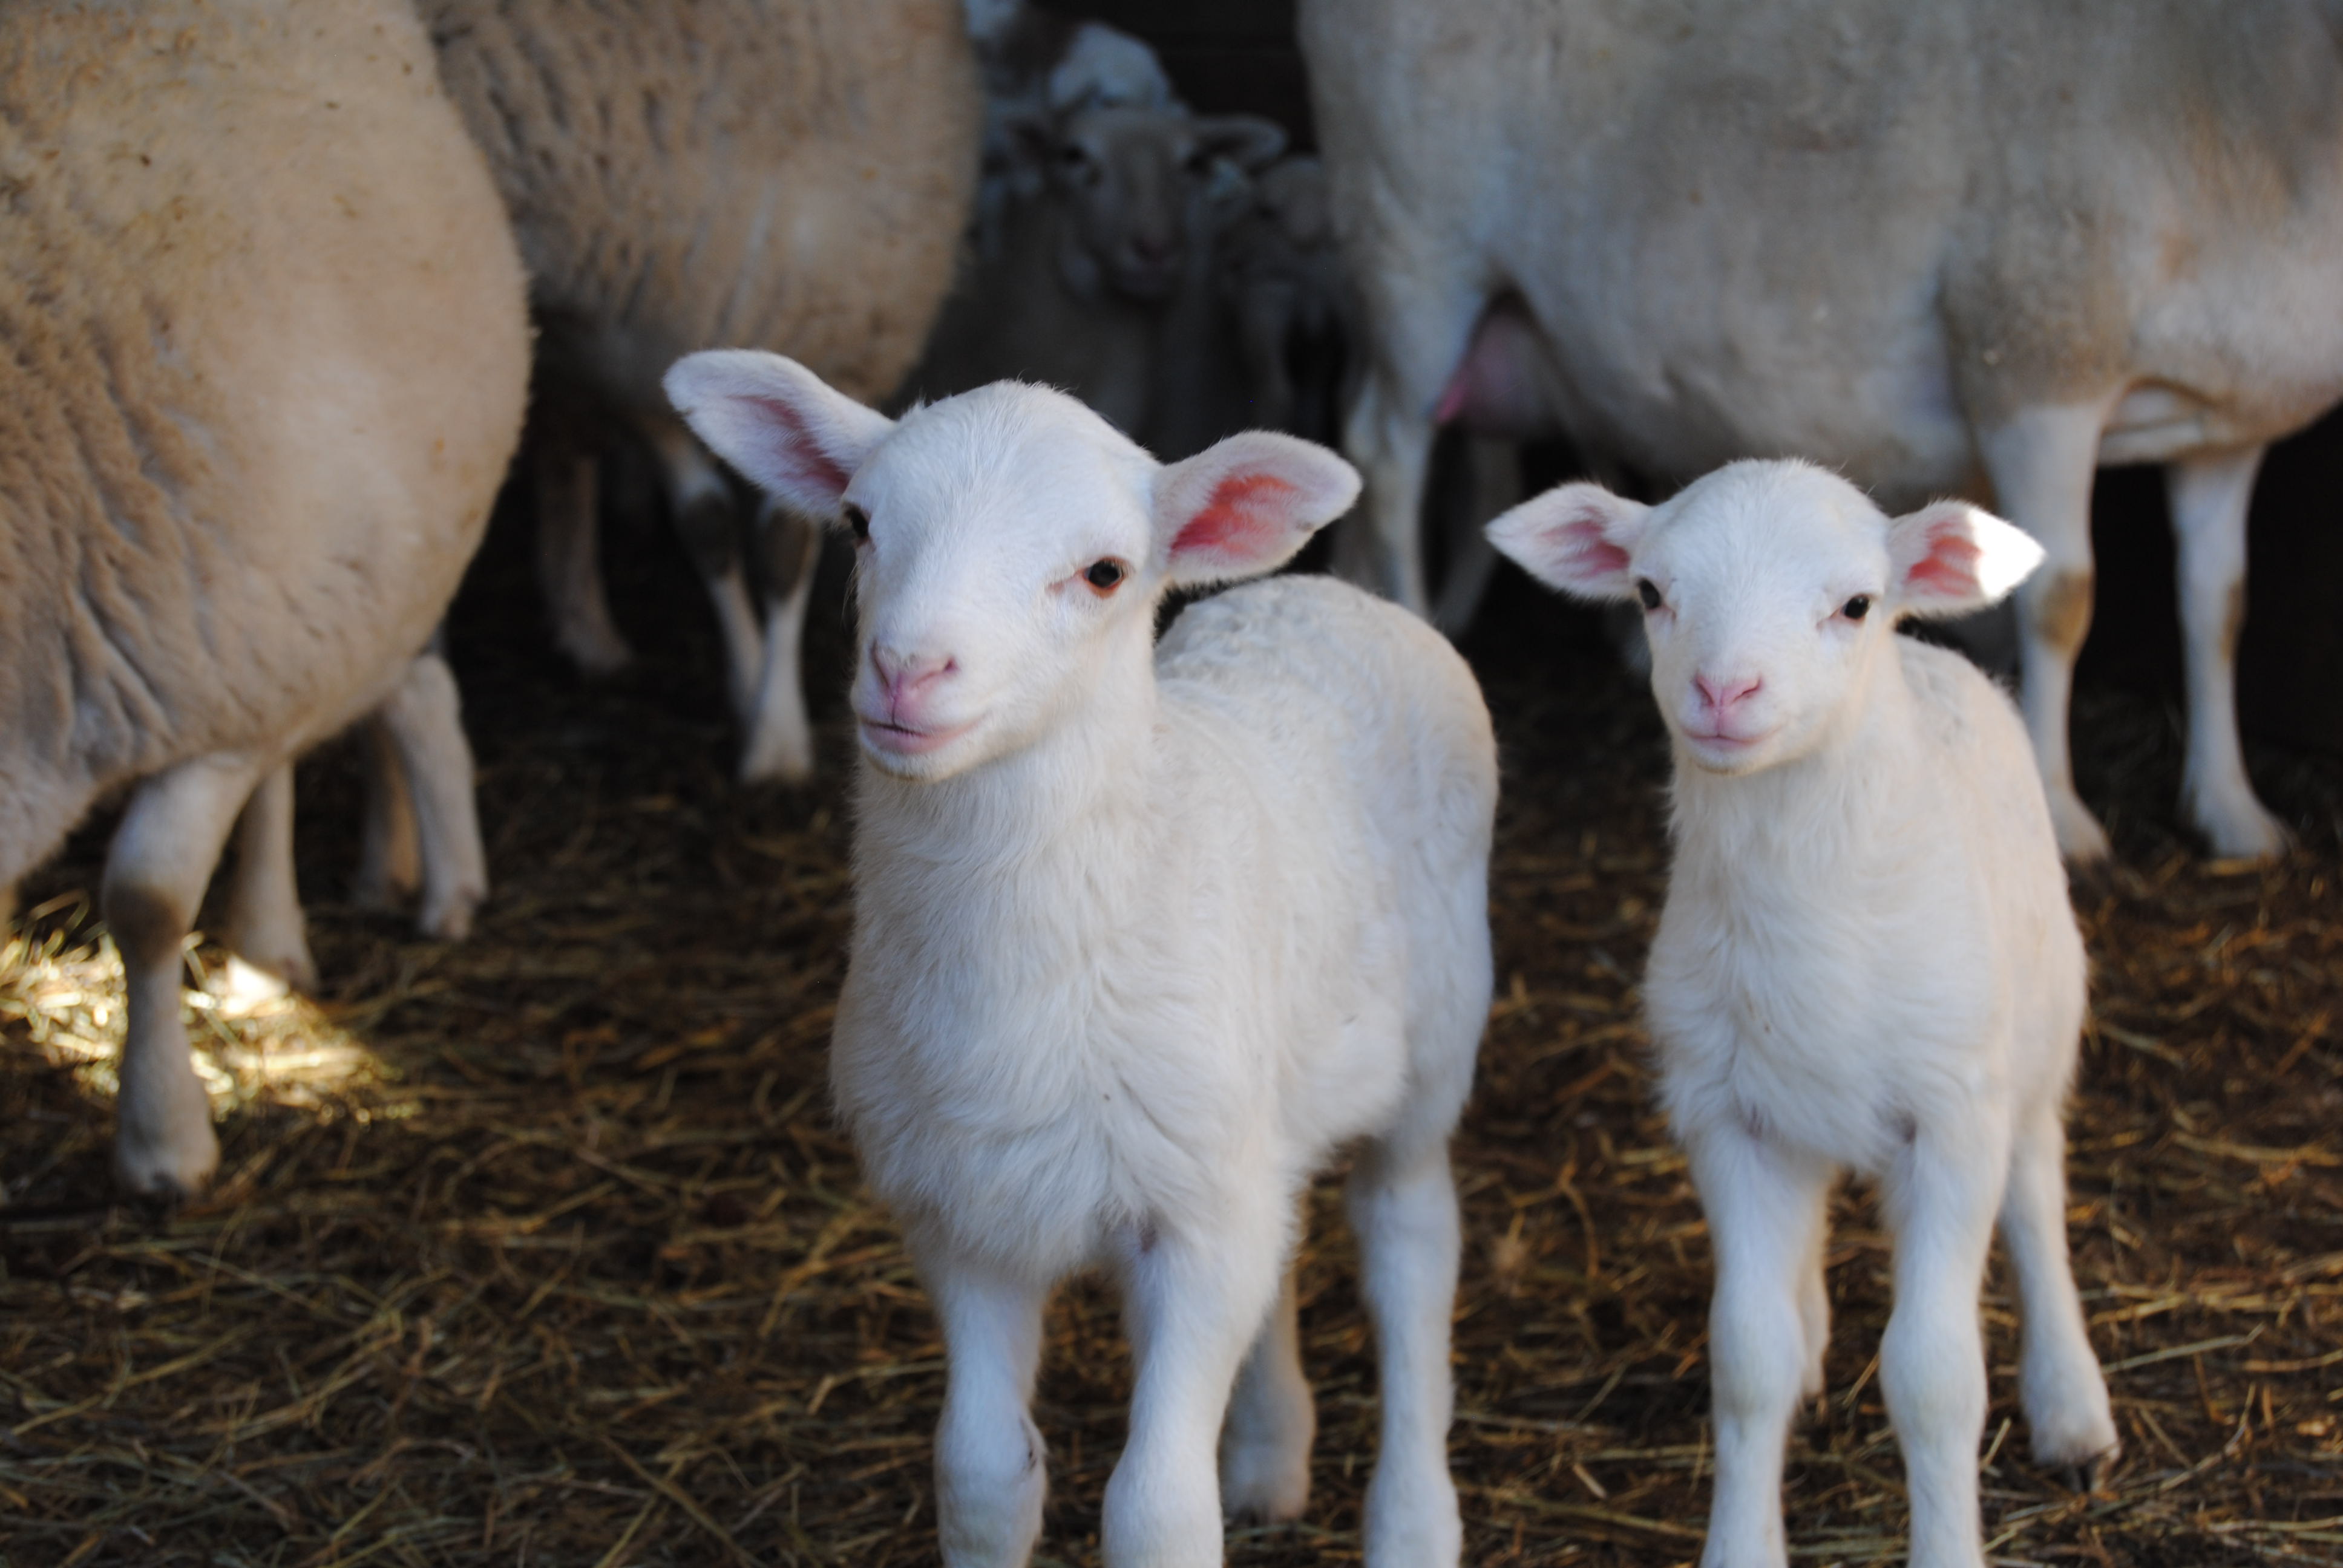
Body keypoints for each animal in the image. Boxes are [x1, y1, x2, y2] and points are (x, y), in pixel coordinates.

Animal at [0, 0, 530, 1200]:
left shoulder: (199, 685)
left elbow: (147, 903)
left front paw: (164, 1137)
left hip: (294, 592)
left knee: (396, 705)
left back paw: (416, 900)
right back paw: (274, 936)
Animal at [421, 0, 982, 783]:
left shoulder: (815, 333)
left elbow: (780, 548)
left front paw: (777, 736)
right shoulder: (639, 361)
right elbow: (707, 528)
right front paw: (750, 697)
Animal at [666, 349, 1499, 1567]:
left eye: (1105, 573)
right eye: (861, 523)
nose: (907, 670)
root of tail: (1325, 593)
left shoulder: (1196, 1231)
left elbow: (1155, 1509)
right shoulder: (962, 1214)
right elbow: (979, 1472)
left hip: (1433, 1051)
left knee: (1410, 1249)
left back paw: (1411, 1519)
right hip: (1257, 1113)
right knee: (1290, 1227)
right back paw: (1270, 1455)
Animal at [1300, 0, 2343, 862]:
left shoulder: (2224, 426)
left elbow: (2219, 606)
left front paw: (2231, 811)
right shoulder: (2033, 360)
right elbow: (2062, 598)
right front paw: (2059, 811)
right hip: (1411, 253)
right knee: (1386, 450)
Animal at [1487, 460, 2119, 1568]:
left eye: (1854, 604)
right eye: (1650, 592)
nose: (1723, 691)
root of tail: (1934, 652)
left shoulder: (1955, 1115)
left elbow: (1935, 1376)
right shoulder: (1728, 1116)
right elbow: (1747, 1362)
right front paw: (1743, 1538)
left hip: (2036, 1031)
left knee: (2038, 1196)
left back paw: (2071, 1406)